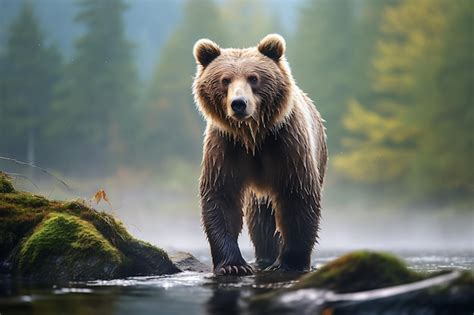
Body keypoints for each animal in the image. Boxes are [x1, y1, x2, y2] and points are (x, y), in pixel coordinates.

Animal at [193, 35, 326, 276]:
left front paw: (290, 262)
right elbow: (221, 196)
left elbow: (298, 196)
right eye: (225, 80)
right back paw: (265, 256)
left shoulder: (287, 145)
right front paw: (233, 265)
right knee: (261, 219)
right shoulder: (226, 147)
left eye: (253, 78)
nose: (239, 103)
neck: (252, 137)